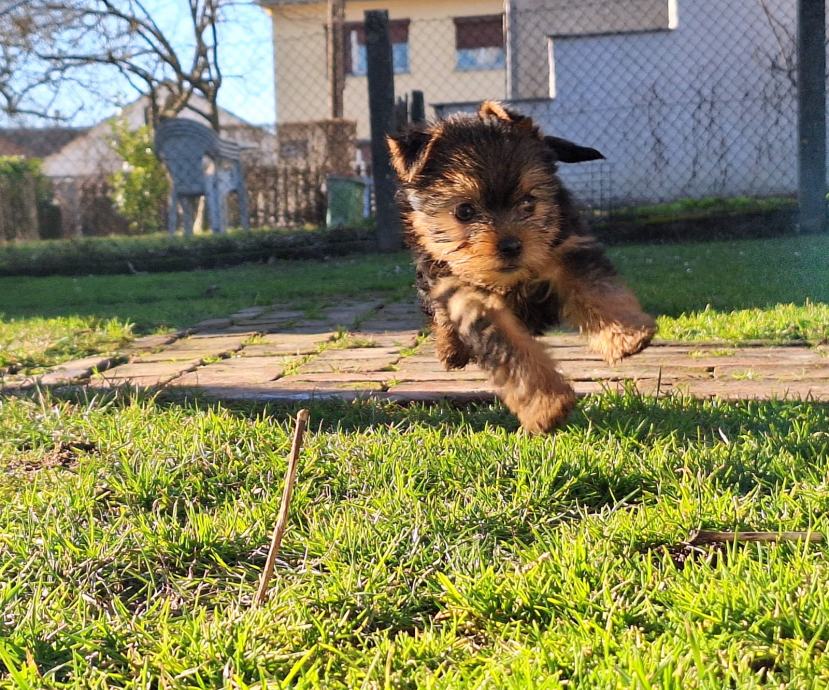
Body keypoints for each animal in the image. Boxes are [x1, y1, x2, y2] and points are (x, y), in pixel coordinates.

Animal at [386, 99, 652, 432]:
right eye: (464, 211)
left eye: (528, 202)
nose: (512, 246)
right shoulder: (467, 296)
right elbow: (509, 349)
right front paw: (547, 405)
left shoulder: (565, 248)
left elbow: (596, 287)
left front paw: (625, 334)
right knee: (439, 312)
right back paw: (450, 349)